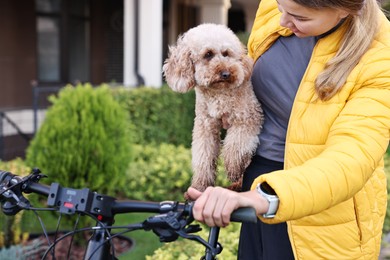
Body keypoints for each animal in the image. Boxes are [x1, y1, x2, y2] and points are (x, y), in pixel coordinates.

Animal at [163, 24, 264, 194]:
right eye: (208, 54)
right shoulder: (205, 125)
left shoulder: (247, 116)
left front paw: (233, 167)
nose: (226, 73)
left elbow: (234, 145)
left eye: (226, 53)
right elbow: (203, 156)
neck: (219, 94)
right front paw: (200, 185)